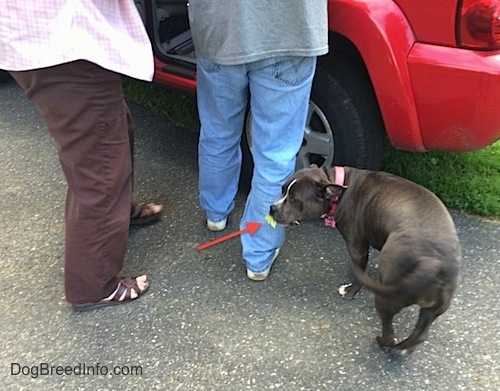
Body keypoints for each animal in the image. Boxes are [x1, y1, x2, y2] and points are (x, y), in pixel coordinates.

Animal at [270, 164, 460, 356]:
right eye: (282, 190)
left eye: (294, 199)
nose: (272, 207)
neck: (339, 187)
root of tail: (435, 264)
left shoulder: (357, 246)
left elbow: (359, 270)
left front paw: (350, 290)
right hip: (431, 309)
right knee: (420, 333)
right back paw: (404, 349)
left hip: (388, 297)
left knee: (389, 331)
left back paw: (383, 342)